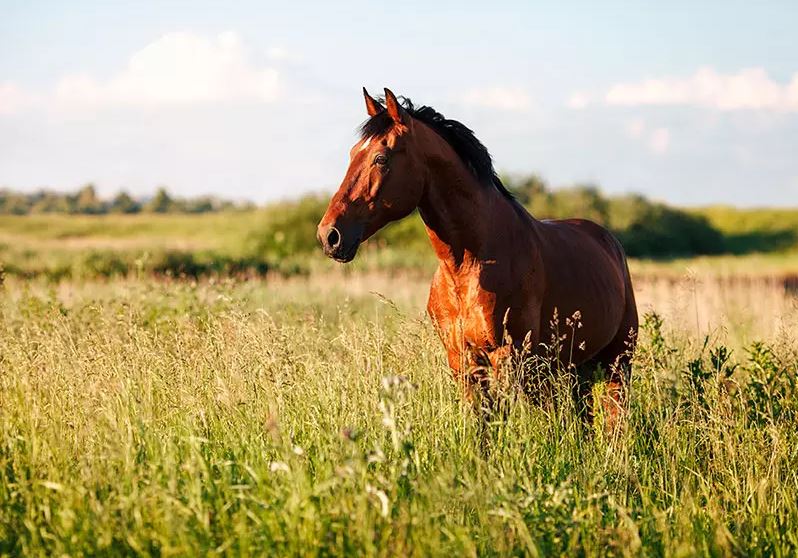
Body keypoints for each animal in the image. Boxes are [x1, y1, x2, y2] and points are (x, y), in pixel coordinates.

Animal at [318, 87, 636, 426]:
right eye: (353, 153)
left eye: (381, 158)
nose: (329, 235)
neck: (469, 265)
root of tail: (607, 240)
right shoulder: (463, 361)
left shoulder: (508, 358)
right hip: (575, 367)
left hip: (617, 361)